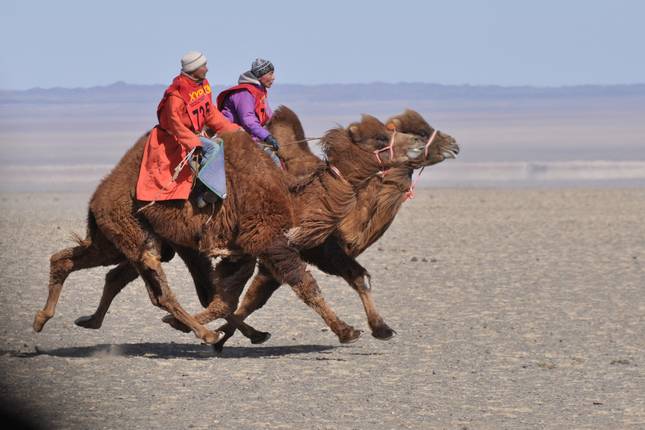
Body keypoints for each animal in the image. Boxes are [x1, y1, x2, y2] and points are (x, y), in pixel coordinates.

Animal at [33, 112, 431, 346]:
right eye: (380, 139)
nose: (418, 144)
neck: (300, 194)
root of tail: (98, 195)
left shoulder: (251, 250)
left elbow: (226, 298)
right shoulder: (268, 241)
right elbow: (303, 287)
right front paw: (347, 331)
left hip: (120, 237)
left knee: (71, 261)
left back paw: (55, 320)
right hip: (133, 232)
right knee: (158, 289)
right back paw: (205, 334)